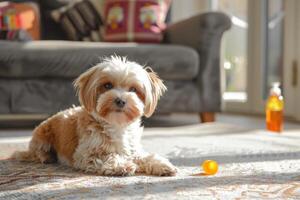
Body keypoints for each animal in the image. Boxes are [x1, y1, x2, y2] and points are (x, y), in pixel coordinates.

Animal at [12, 55, 178, 176]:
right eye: (107, 85)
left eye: (133, 89)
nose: (120, 100)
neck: (116, 126)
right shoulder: (85, 154)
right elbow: (107, 156)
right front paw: (121, 165)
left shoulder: (133, 149)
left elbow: (145, 156)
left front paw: (161, 164)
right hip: (42, 136)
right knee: (34, 153)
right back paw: (46, 157)